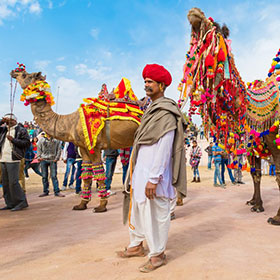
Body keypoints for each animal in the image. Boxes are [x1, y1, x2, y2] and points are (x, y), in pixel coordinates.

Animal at [10, 65, 142, 213]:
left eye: (25, 75)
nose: (14, 72)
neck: (70, 123)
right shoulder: (84, 148)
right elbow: (86, 175)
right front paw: (82, 204)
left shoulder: (95, 147)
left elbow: (99, 173)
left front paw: (101, 206)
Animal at [179, 7, 280, 225]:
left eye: (215, 29)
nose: (194, 12)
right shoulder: (257, 144)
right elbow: (259, 174)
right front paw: (258, 206)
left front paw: (276, 217)